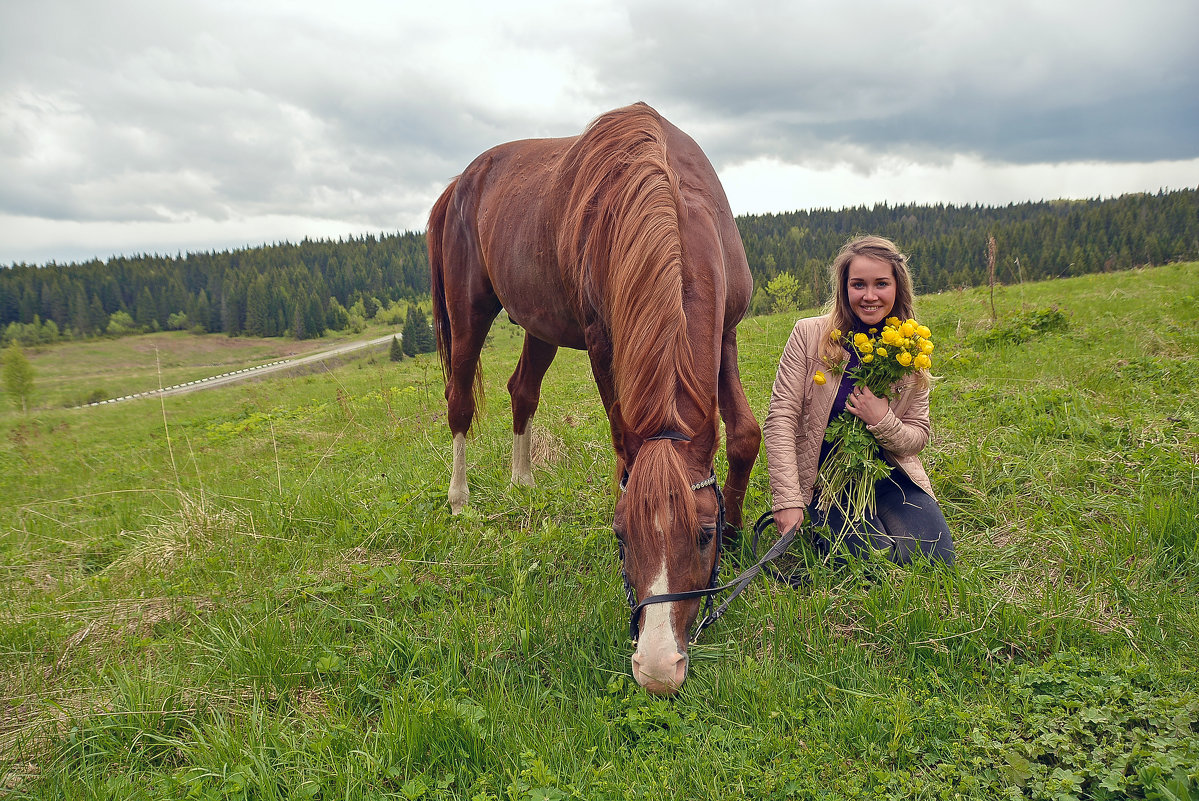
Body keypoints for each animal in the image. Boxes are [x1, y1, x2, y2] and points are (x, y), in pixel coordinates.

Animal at [424, 101, 757, 695]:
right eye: (621, 536)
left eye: (705, 535)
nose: (657, 670)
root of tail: (460, 183)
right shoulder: (603, 344)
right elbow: (624, 450)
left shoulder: (726, 333)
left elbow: (742, 435)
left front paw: (740, 531)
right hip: (468, 315)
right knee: (459, 400)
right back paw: (460, 499)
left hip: (540, 326)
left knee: (522, 390)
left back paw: (523, 482)